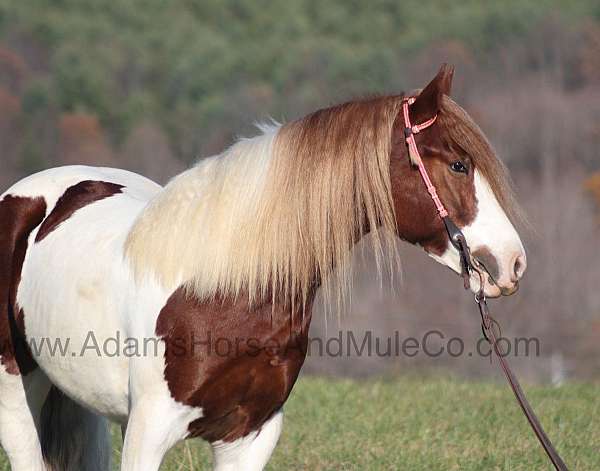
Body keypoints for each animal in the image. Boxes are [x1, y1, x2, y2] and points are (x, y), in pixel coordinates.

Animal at [0, 64, 524, 470]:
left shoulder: (249, 436)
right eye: (458, 165)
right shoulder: (147, 431)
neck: (224, 290)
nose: (512, 263)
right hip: (16, 393)